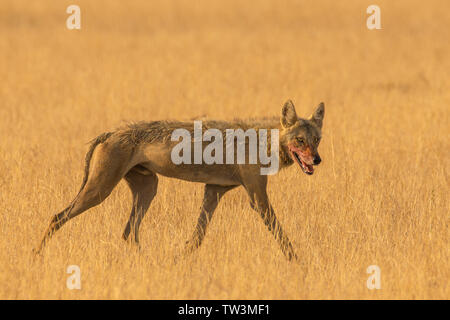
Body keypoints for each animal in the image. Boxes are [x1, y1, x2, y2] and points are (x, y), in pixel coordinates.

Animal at [35, 100, 324, 260]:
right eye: (300, 141)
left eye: (317, 140)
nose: (317, 160)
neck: (266, 142)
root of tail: (111, 132)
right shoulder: (257, 198)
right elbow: (281, 234)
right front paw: (298, 262)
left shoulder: (214, 190)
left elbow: (197, 237)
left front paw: (179, 260)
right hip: (100, 191)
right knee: (57, 217)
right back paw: (36, 256)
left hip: (148, 189)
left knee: (129, 233)